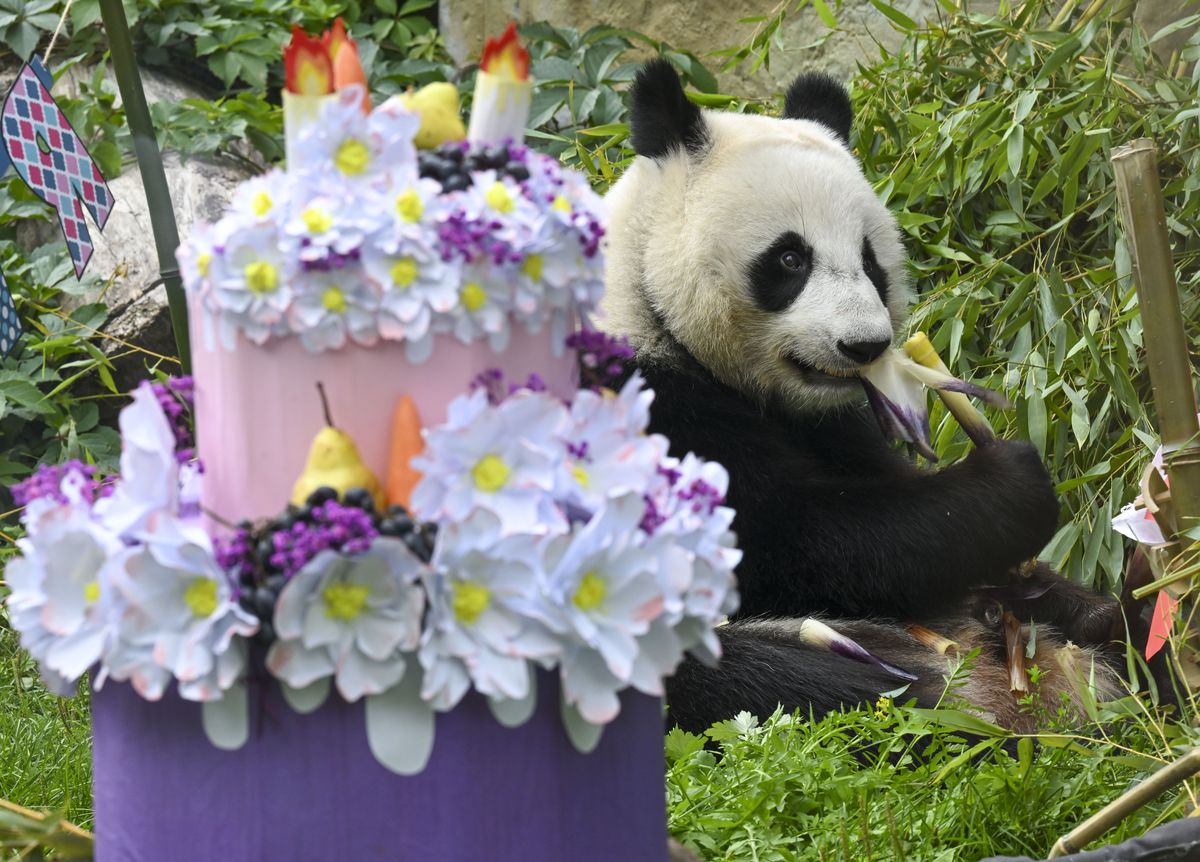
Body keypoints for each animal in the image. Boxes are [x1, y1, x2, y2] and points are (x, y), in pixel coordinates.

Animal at [602, 60, 1132, 735]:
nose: (865, 345)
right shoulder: (637, 405)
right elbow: (786, 539)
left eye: (869, 260)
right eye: (790, 258)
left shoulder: (832, 424)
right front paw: (1011, 487)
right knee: (782, 683)